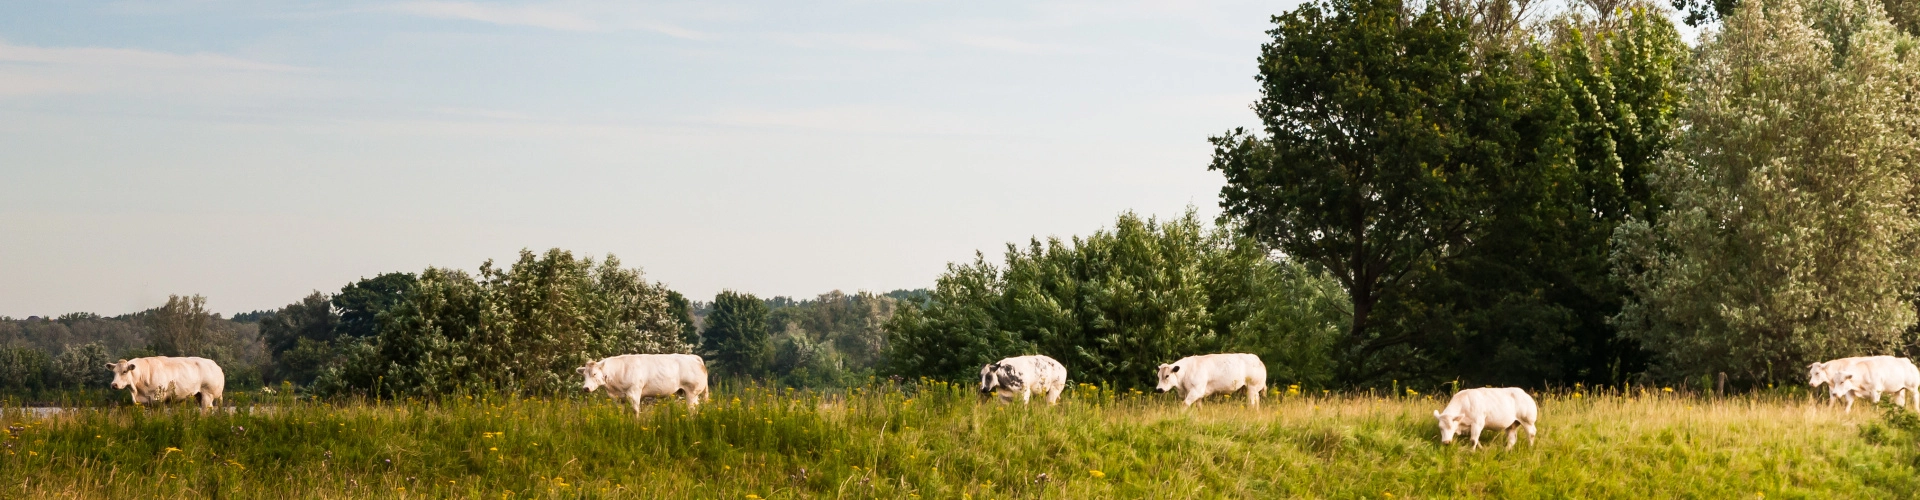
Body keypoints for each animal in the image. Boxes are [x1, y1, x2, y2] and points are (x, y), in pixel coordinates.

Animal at [579, 351, 718, 413]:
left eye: (594, 374)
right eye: (584, 375)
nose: (585, 388)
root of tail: (693, 357)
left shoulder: (634, 392)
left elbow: (635, 411)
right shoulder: (618, 397)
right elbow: (622, 412)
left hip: (692, 392)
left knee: (692, 410)